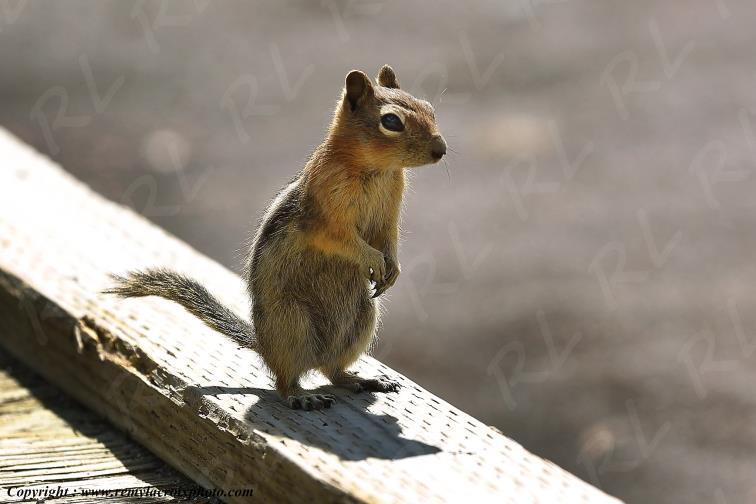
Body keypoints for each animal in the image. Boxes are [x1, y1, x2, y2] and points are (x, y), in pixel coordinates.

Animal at [106, 65, 447, 411]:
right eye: (391, 122)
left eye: (430, 109)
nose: (441, 150)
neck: (377, 171)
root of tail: (264, 345)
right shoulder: (324, 215)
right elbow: (341, 239)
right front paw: (373, 259)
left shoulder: (389, 212)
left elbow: (388, 238)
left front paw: (393, 268)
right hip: (292, 322)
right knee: (285, 381)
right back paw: (302, 396)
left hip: (362, 317)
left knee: (333, 371)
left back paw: (362, 380)